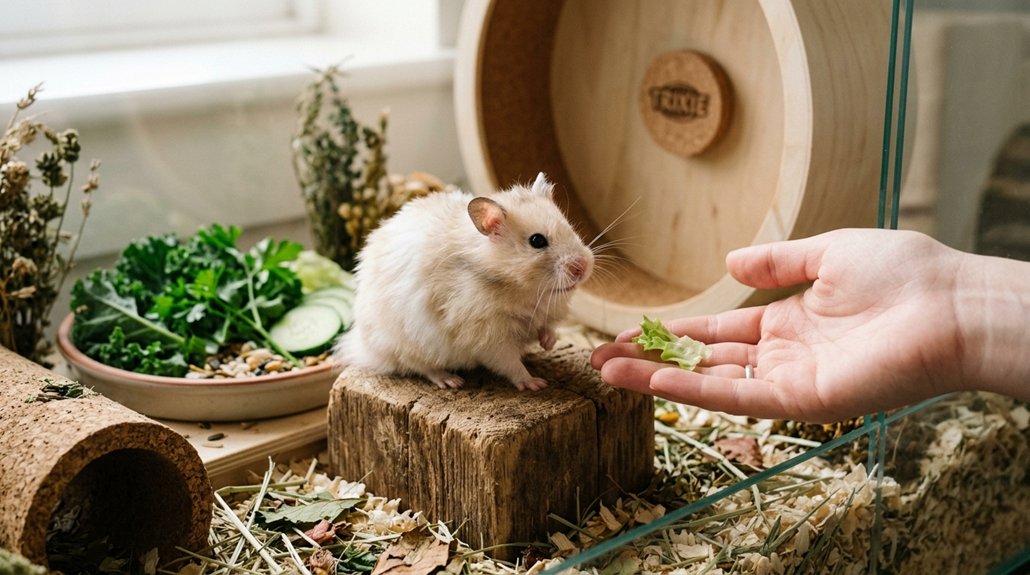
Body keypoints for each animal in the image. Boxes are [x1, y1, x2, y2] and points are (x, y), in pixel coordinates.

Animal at [333, 172, 594, 391]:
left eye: (568, 226)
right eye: (537, 241)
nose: (582, 267)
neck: (523, 289)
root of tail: (362, 347)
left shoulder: (543, 314)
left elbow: (547, 327)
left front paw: (548, 343)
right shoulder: (488, 337)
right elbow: (510, 364)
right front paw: (536, 384)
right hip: (406, 345)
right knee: (422, 368)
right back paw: (451, 381)